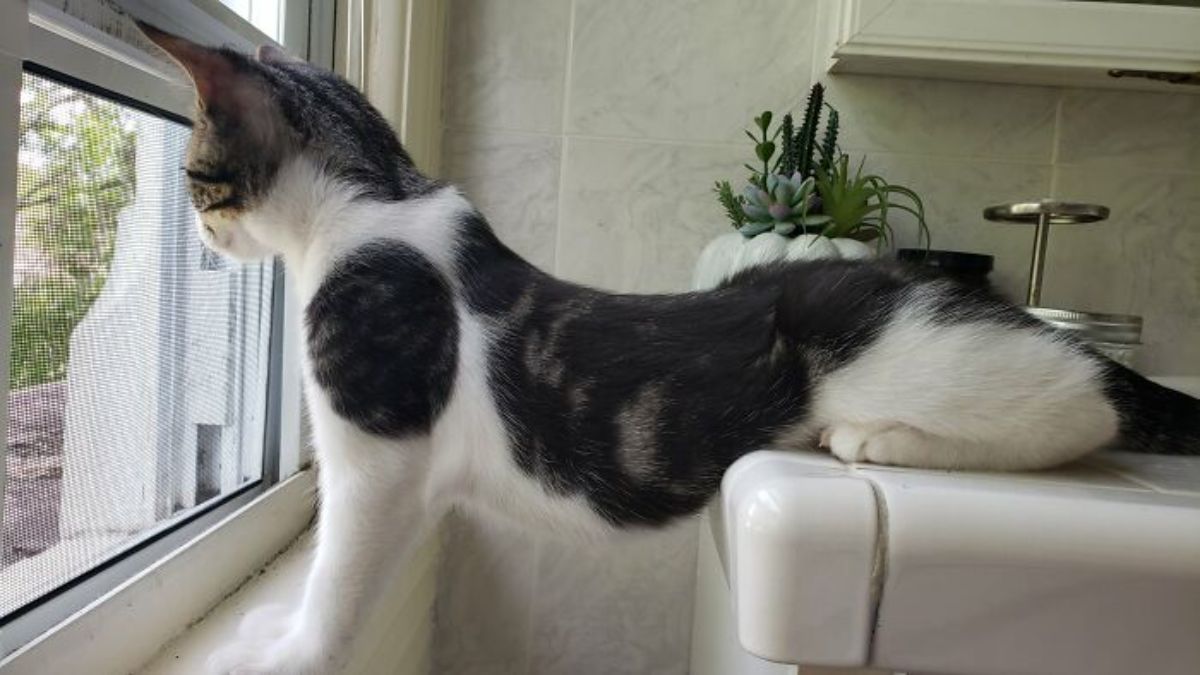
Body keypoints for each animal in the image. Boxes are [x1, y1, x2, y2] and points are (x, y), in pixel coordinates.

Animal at [136, 23, 1195, 667]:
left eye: (196, 175)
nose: (202, 234)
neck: (374, 200)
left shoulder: (379, 452)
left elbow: (341, 567)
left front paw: (290, 650)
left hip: (924, 365)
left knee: (1079, 407)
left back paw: (881, 440)